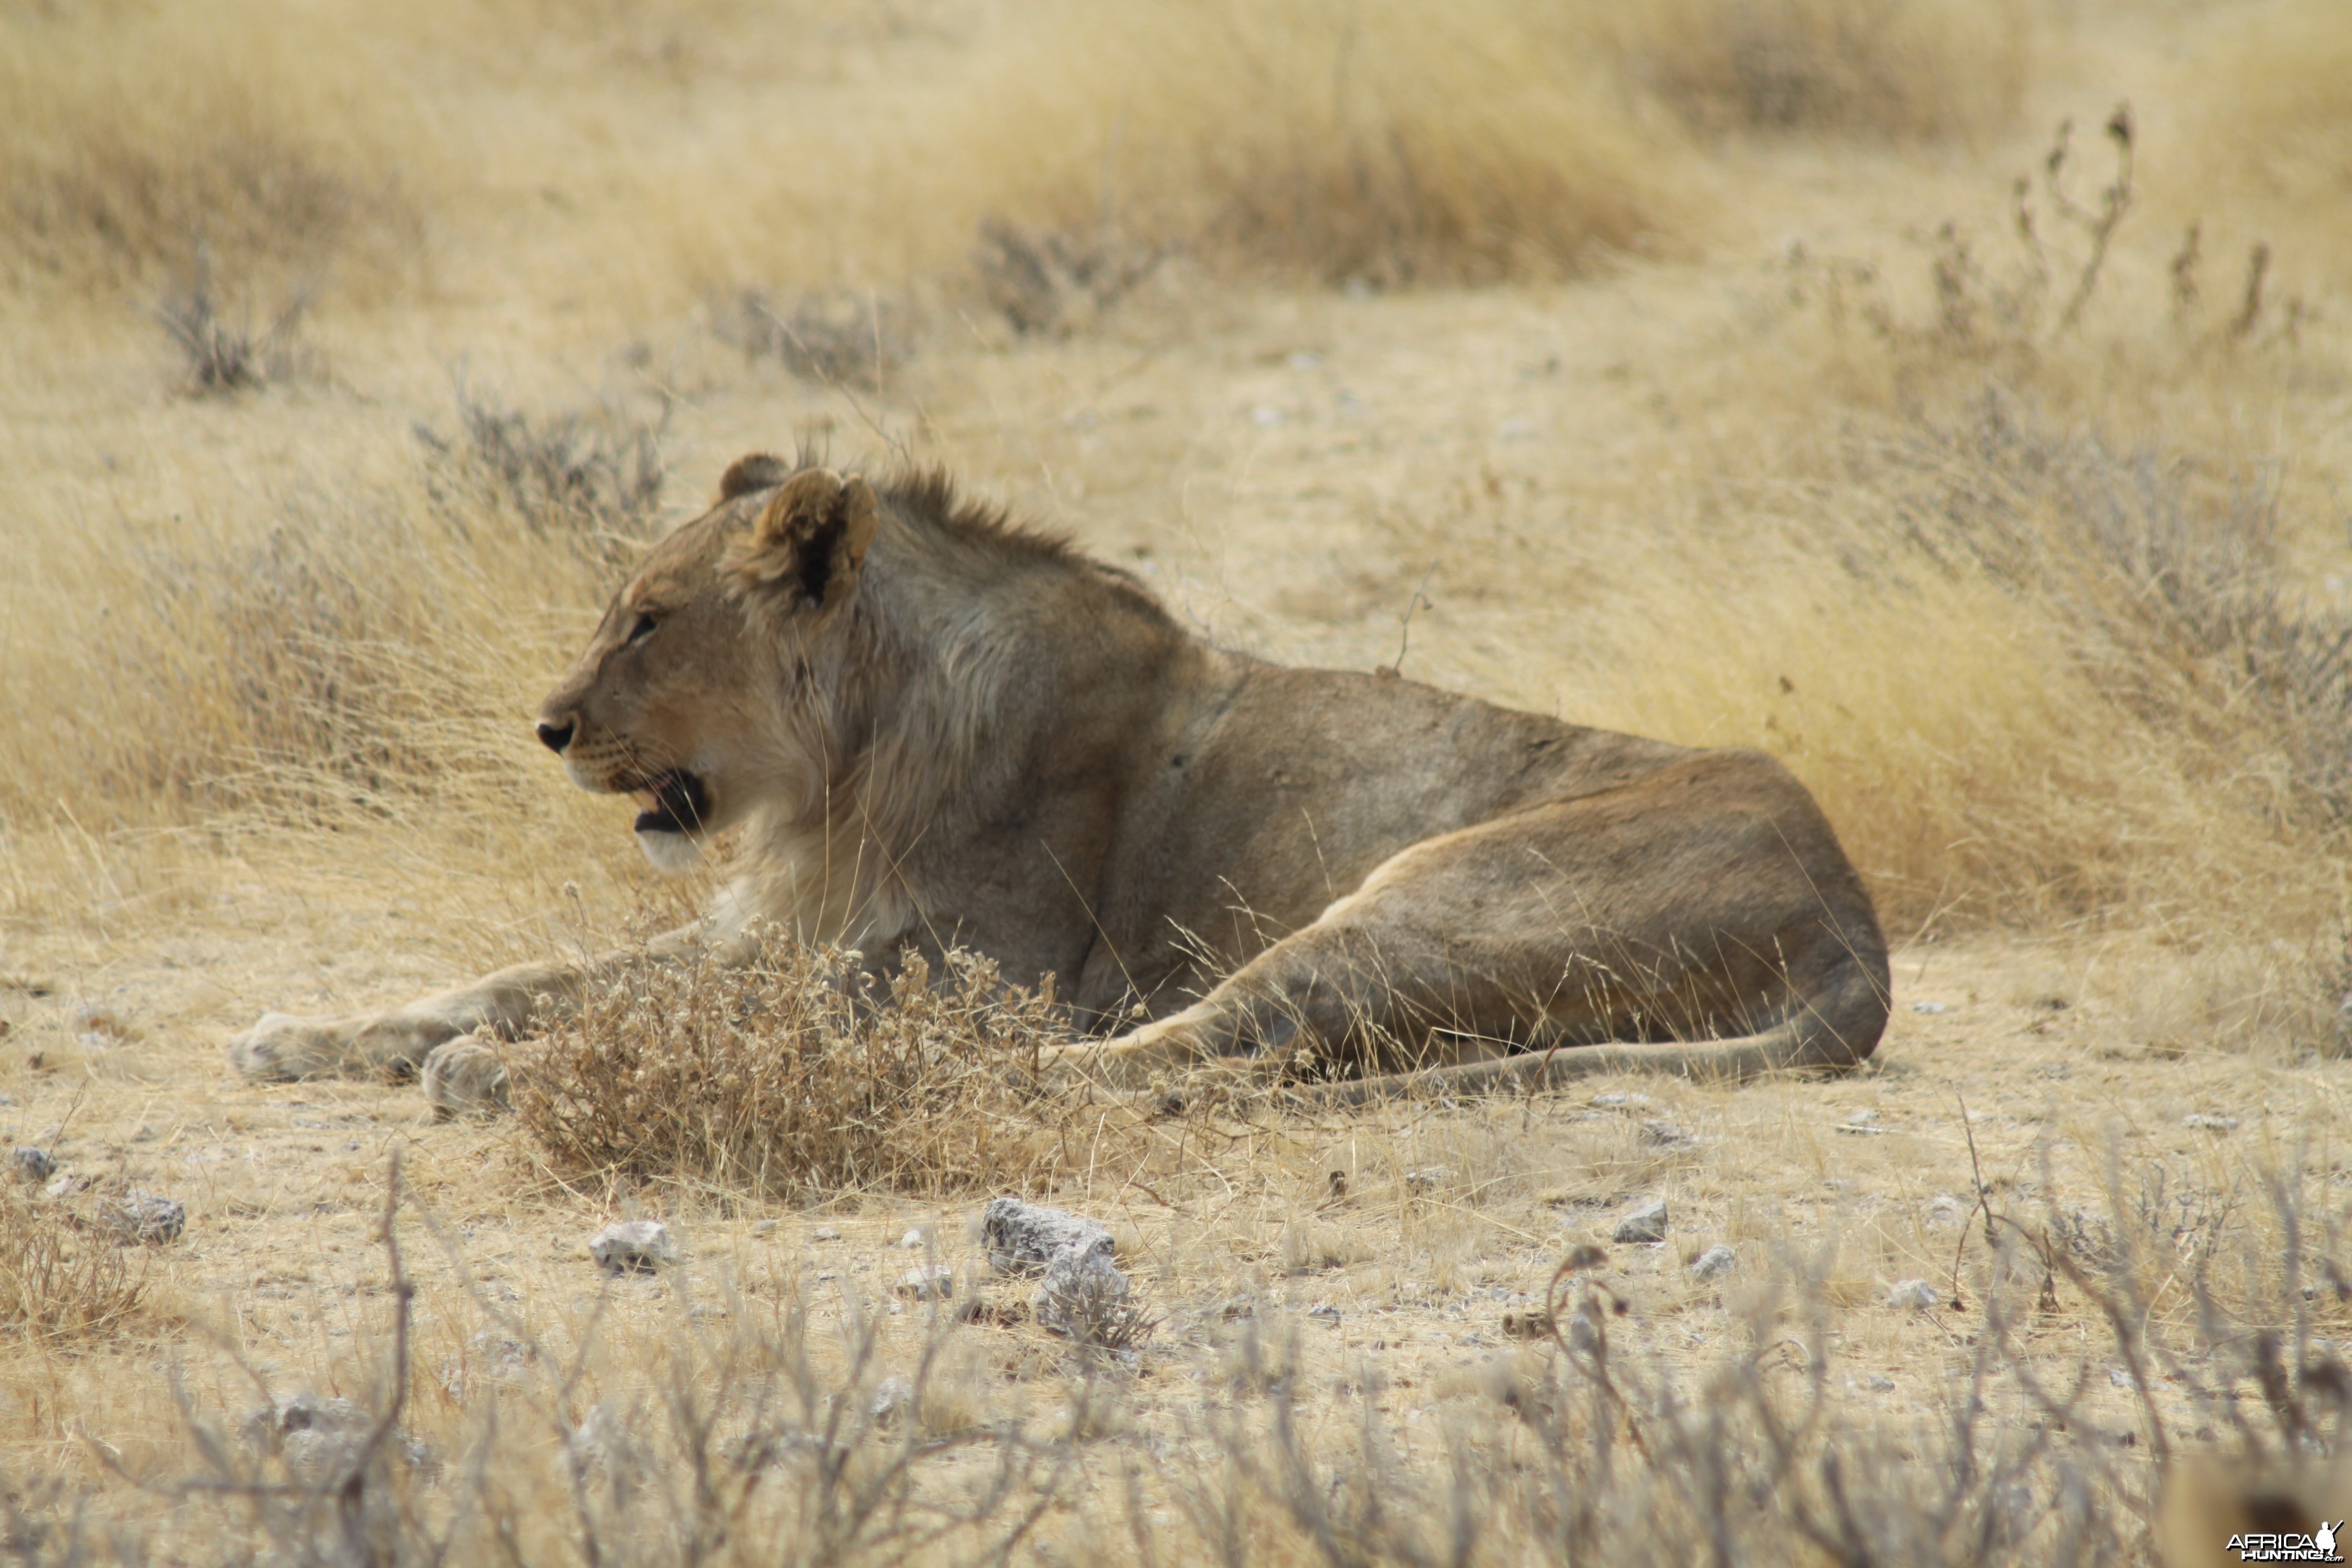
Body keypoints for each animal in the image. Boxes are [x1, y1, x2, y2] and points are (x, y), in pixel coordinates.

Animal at [229, 461, 1891, 1109]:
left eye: (647, 621)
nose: (547, 727)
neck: (844, 769)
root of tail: (1856, 928)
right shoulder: (764, 929)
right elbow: (522, 977)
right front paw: (310, 1031)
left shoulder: (968, 968)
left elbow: (710, 1023)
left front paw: (502, 1070)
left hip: (1432, 891)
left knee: (1189, 1046)